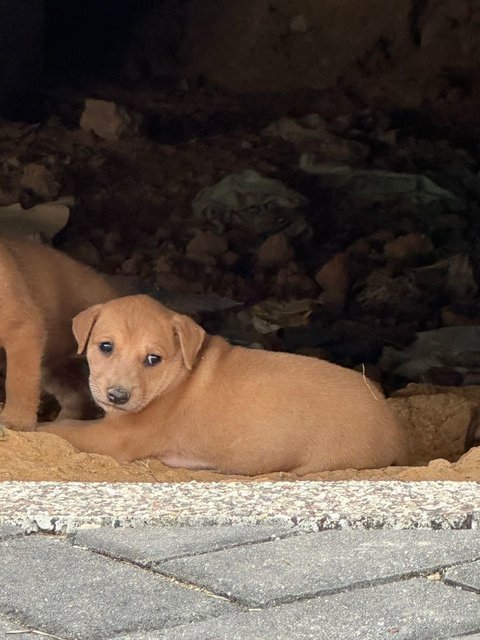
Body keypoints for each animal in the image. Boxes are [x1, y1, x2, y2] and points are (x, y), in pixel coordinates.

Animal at [40, 296, 408, 476]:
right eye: (105, 346)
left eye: (153, 359)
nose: (117, 395)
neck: (177, 377)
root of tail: (393, 424)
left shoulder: (116, 437)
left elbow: (62, 430)